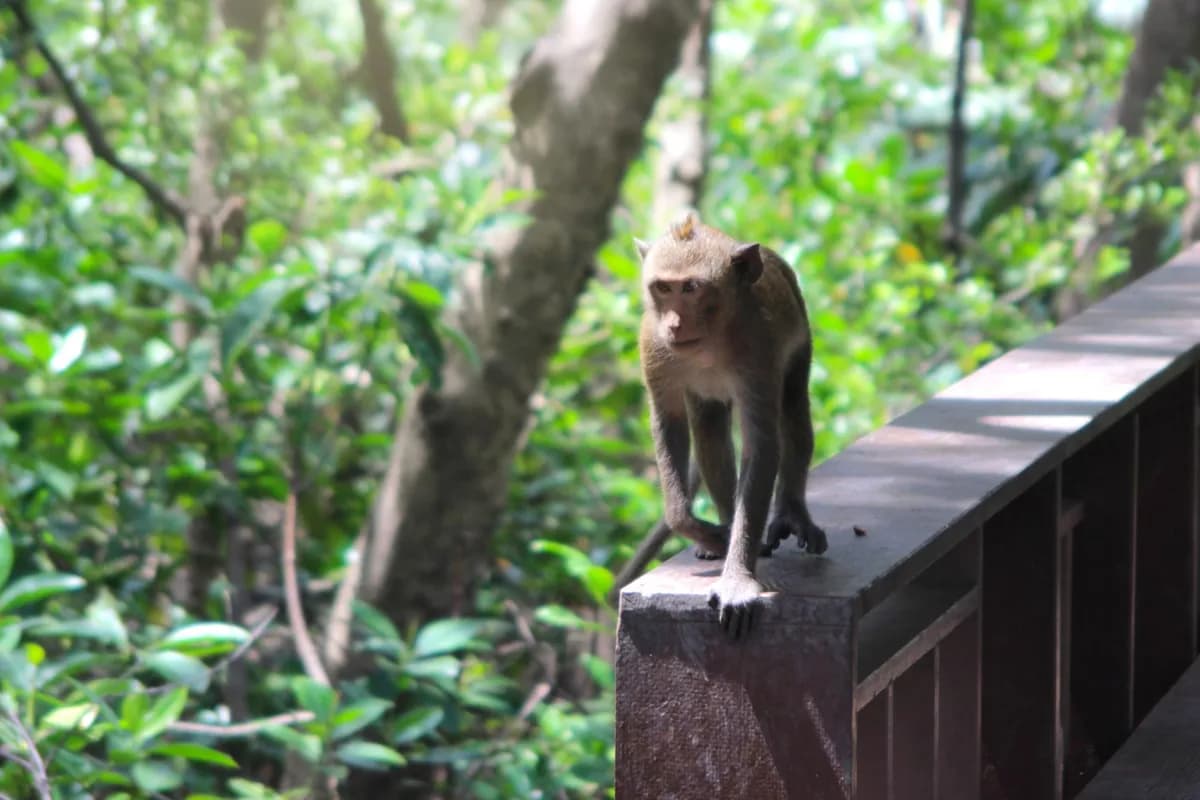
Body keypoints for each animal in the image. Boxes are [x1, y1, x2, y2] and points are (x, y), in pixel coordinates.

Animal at [635, 211, 827, 639]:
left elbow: (762, 445)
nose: (674, 324)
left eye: (691, 287)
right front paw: (698, 529)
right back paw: (722, 529)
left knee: (793, 414)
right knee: (708, 429)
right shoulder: (653, 345)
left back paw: (791, 513)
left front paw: (737, 577)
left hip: (800, 338)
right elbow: (669, 424)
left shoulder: (759, 349)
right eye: (663, 288)